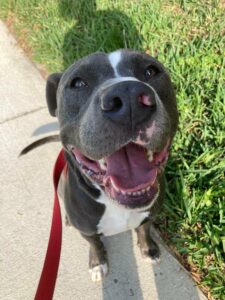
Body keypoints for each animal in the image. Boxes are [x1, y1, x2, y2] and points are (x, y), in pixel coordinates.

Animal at [27, 49, 178, 282]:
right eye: (78, 83)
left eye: (151, 71)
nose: (128, 95)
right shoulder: (87, 231)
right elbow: (95, 244)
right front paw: (98, 263)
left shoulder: (150, 215)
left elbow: (145, 230)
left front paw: (149, 249)